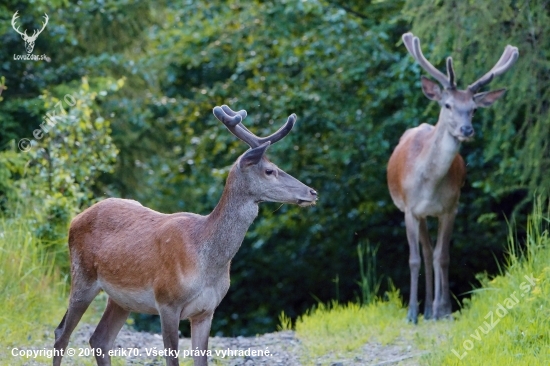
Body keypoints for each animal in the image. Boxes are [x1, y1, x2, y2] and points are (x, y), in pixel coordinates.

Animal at [54, 104, 320, 364]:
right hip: (82, 276)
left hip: (120, 299)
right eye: (269, 170)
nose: (312, 192)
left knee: (100, 339)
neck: (206, 259)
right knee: (62, 333)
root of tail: (75, 219)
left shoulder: (207, 310)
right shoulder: (167, 301)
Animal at [388, 31, 516, 324]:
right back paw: (422, 310)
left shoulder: (450, 207)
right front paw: (411, 313)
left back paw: (431, 310)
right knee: (423, 253)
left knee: (432, 253)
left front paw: (442, 310)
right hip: (418, 214)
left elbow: (443, 256)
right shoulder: (410, 209)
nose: (466, 129)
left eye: (474, 108)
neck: (429, 185)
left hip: (434, 214)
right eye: (447, 104)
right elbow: (414, 258)